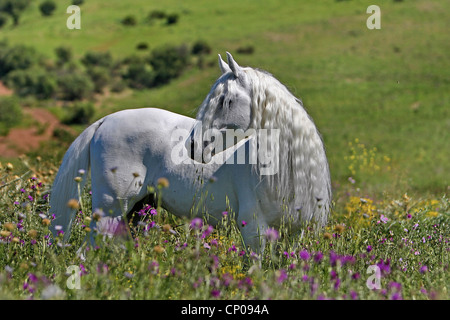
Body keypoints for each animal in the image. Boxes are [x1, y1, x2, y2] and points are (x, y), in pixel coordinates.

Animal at [49, 52, 330, 251]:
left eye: (226, 100)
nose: (193, 147)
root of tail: (105, 121)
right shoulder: (254, 230)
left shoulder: (294, 234)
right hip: (111, 210)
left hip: (136, 210)